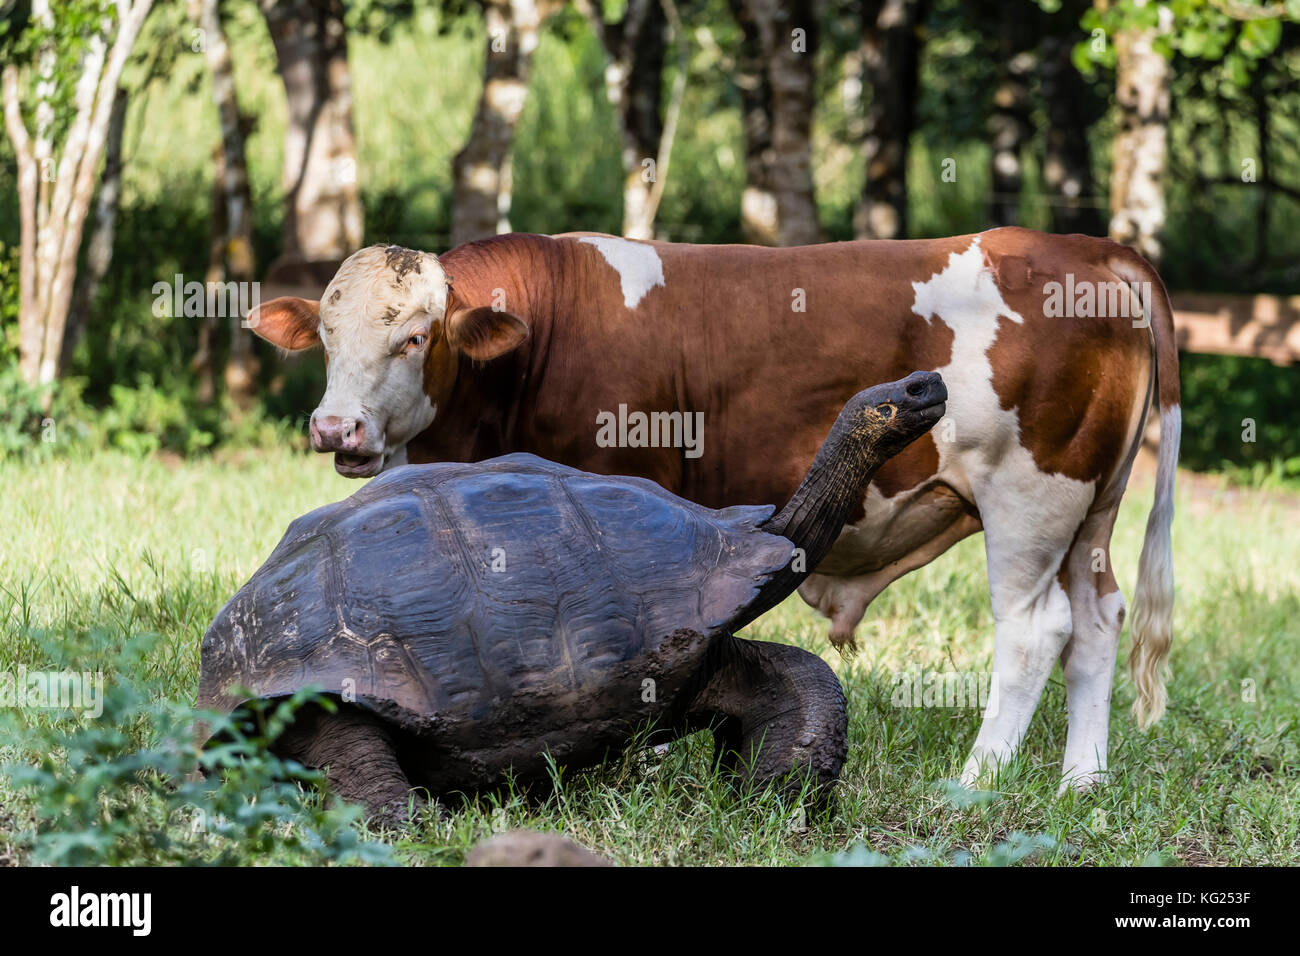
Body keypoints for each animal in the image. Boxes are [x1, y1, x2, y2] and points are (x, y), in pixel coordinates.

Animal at [248, 227, 1185, 790]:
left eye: (414, 336)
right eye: (327, 337)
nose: (336, 427)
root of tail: (1089, 248)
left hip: (1029, 499)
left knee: (1035, 630)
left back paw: (975, 780)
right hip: (1089, 513)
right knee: (1097, 621)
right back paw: (1081, 778)